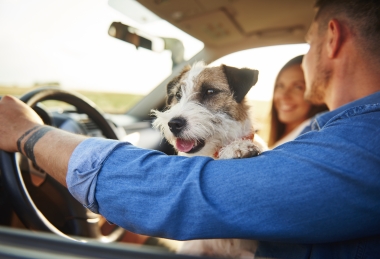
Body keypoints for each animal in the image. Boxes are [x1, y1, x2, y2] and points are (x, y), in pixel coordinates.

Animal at [151, 62, 268, 258]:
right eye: (178, 95)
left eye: (210, 91)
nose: (173, 124)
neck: (211, 153)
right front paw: (235, 149)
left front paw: (237, 147)